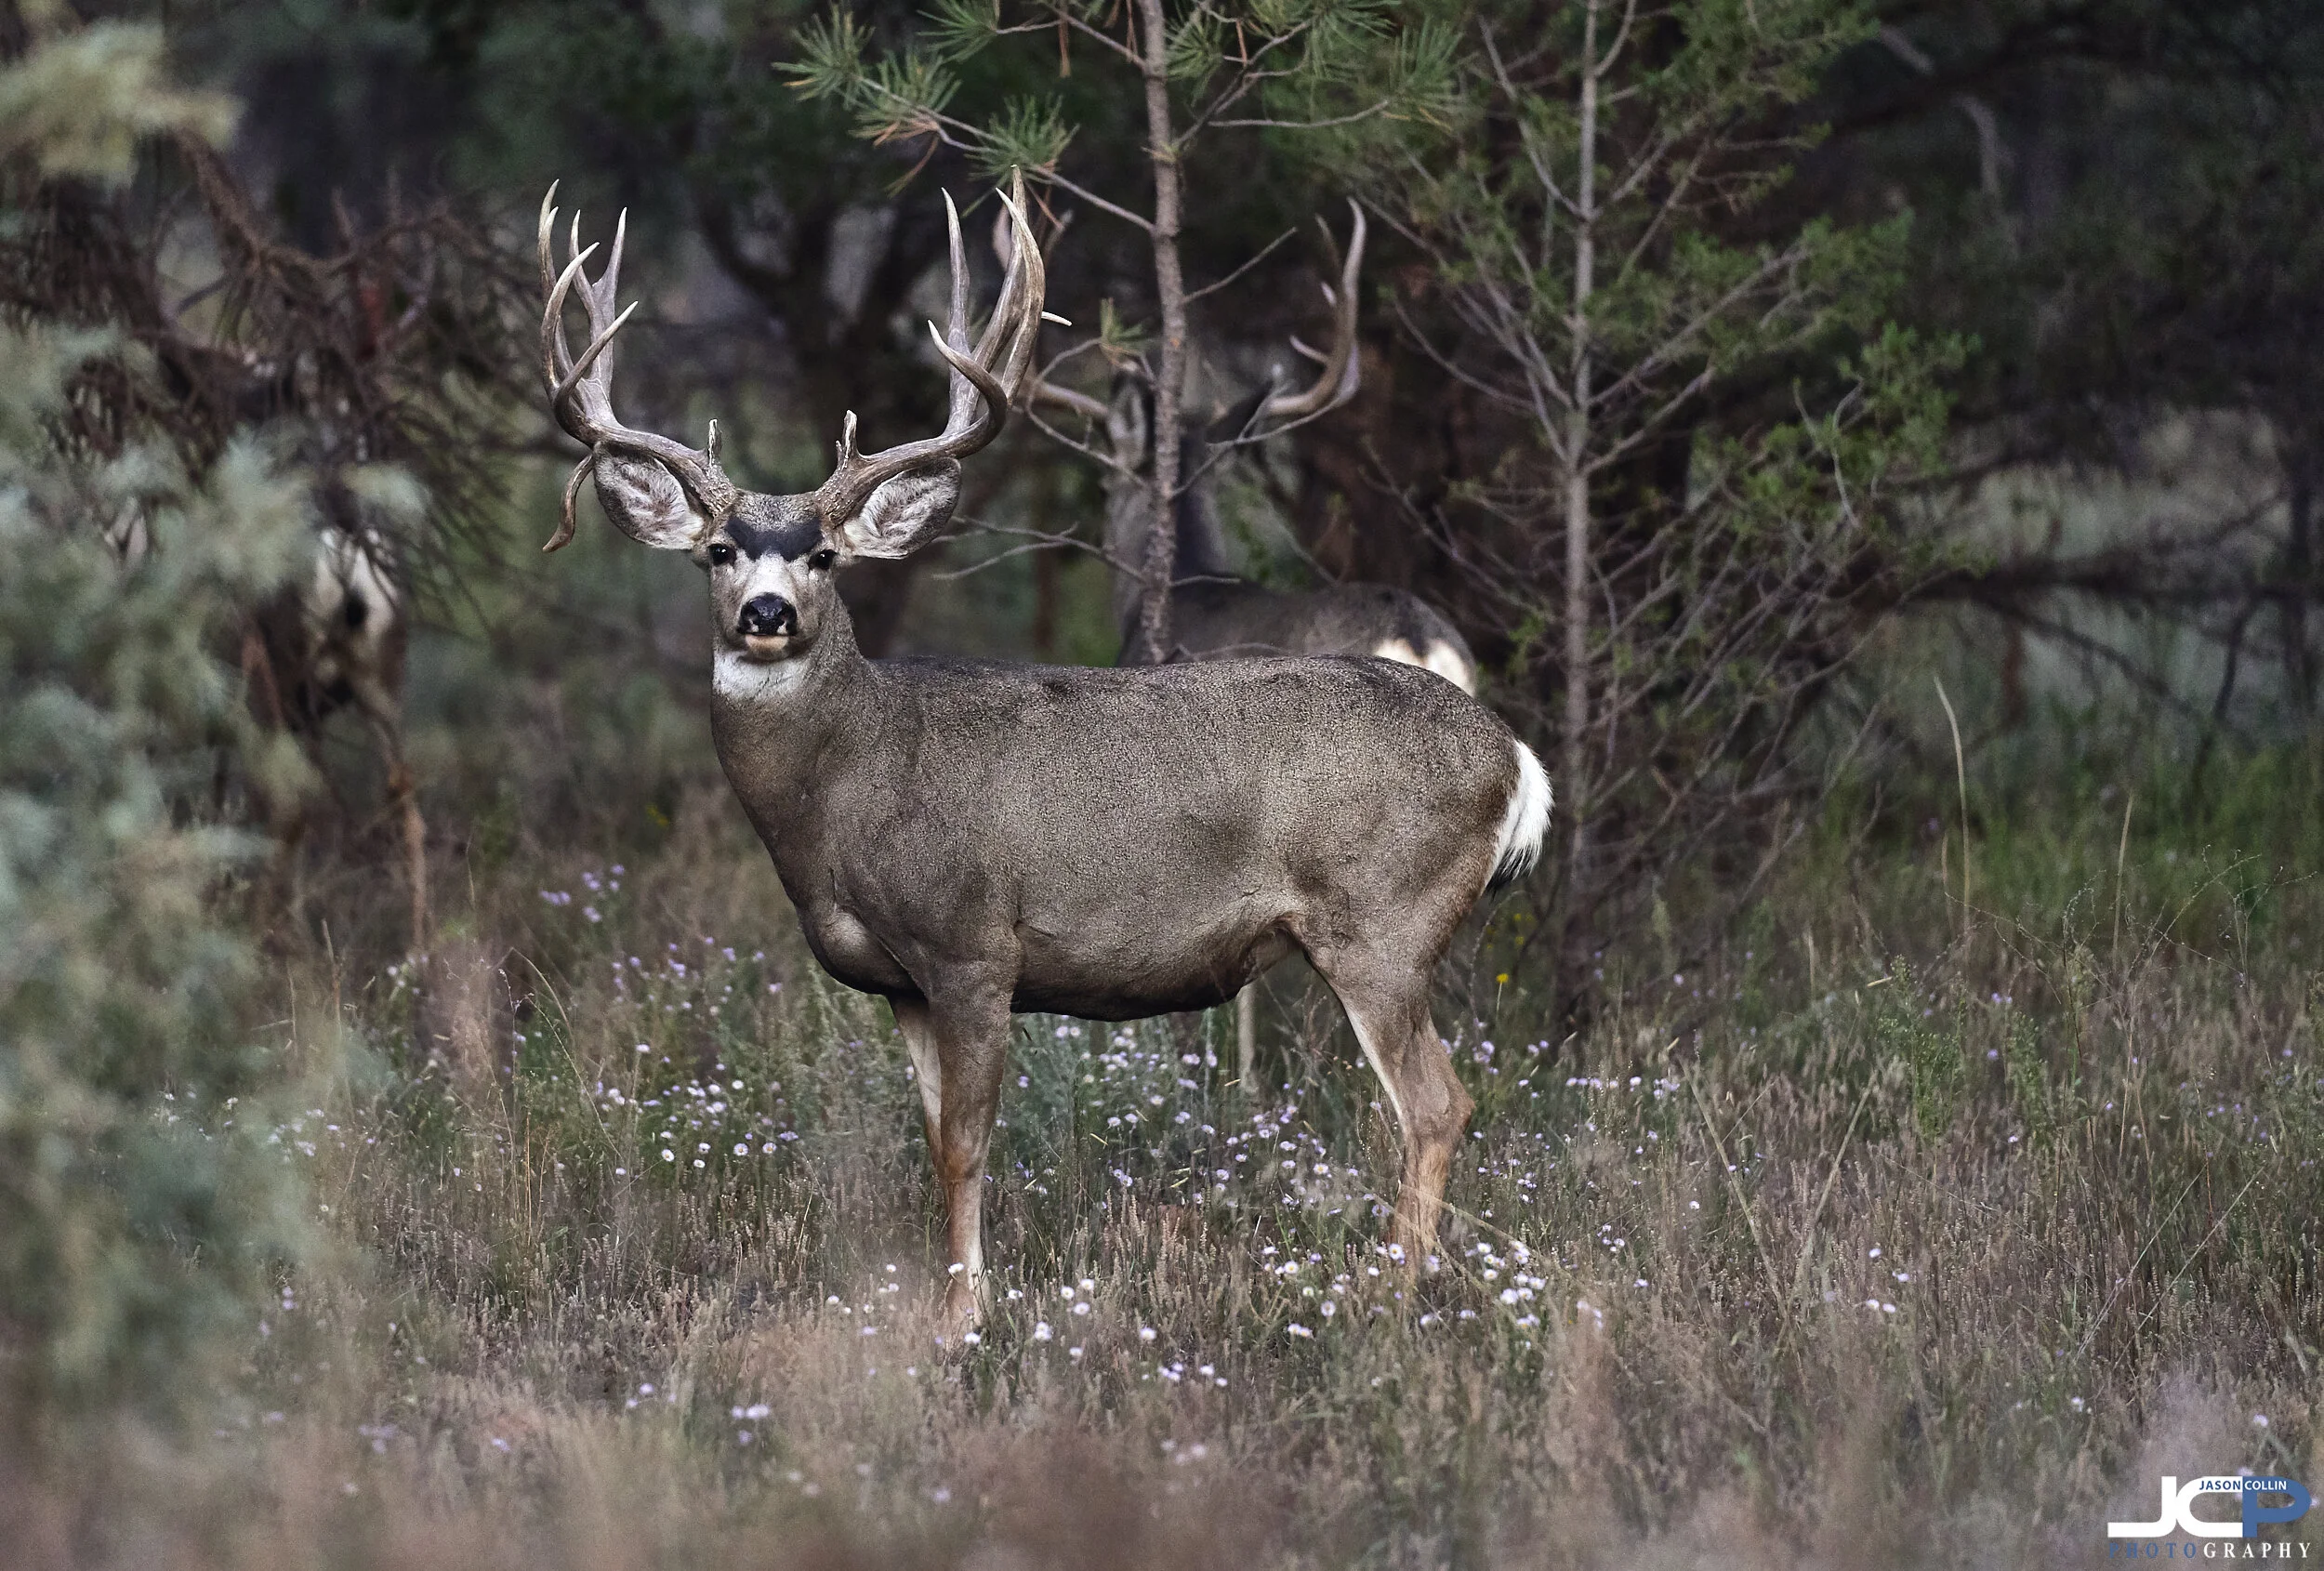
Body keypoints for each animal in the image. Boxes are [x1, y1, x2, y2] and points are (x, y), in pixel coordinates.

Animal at [535, 176, 1550, 1322]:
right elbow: (936, 1138)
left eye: (826, 557)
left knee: (1436, 1103)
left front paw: (964, 1320)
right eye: (716, 549)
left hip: (1380, 918)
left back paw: (1391, 1294)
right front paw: (954, 1302)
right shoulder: (903, 983)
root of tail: (1513, 756)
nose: (764, 612)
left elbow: (966, 1146)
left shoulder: (975, 944)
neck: (848, 791)